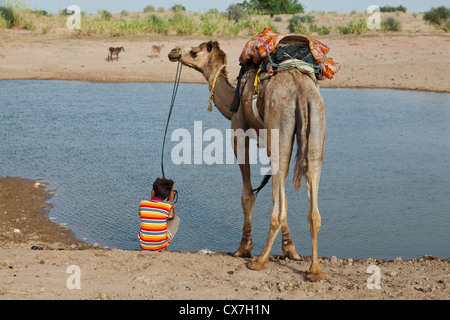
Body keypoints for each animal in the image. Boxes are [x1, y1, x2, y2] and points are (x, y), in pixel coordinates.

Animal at [169, 39, 326, 280]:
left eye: (194, 51)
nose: (173, 51)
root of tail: (300, 91)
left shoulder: (238, 130)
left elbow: (248, 195)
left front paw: (244, 248)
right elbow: (283, 197)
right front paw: (290, 250)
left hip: (280, 124)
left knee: (277, 206)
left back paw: (259, 261)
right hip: (315, 123)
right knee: (312, 203)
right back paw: (315, 271)